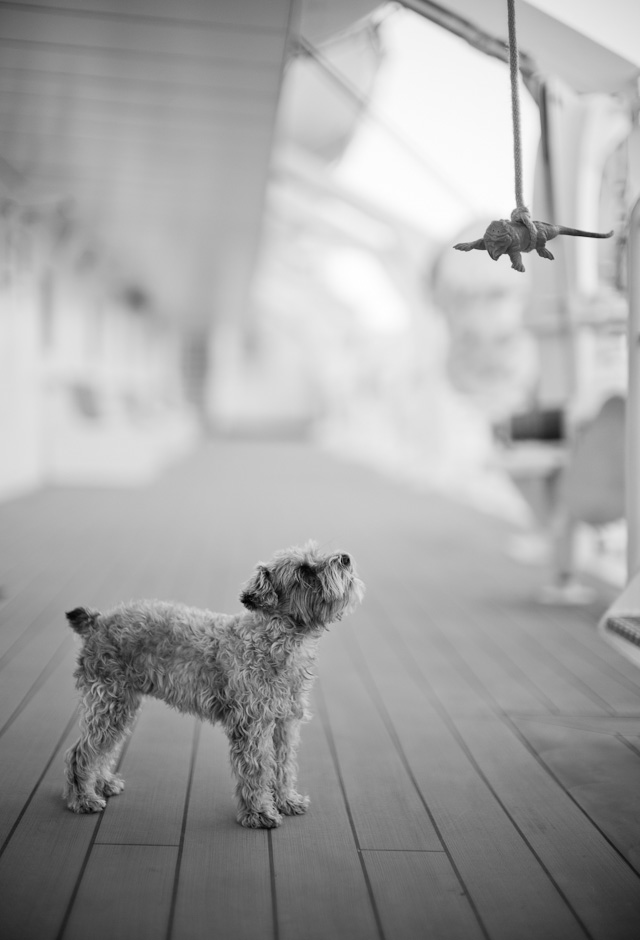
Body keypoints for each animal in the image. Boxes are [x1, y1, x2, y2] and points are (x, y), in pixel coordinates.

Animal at [66, 544, 364, 828]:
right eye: (304, 570)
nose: (346, 558)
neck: (272, 641)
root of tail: (97, 621)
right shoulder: (252, 725)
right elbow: (256, 771)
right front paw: (259, 814)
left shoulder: (284, 723)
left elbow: (284, 765)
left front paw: (287, 801)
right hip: (110, 703)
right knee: (81, 752)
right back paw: (84, 799)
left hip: (122, 705)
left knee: (103, 749)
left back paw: (104, 783)